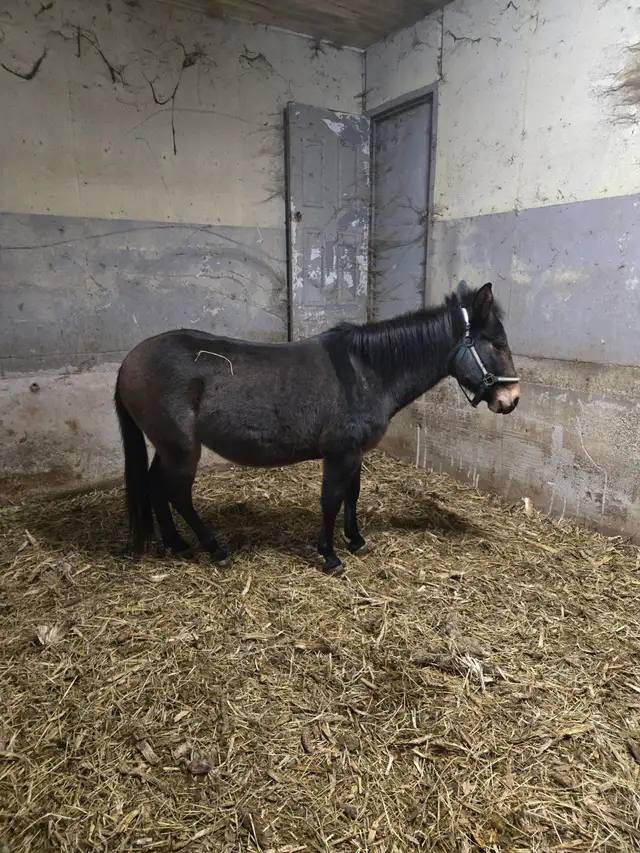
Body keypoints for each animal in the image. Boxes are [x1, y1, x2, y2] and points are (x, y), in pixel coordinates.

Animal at [114, 280, 520, 574]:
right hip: (183, 449)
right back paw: (213, 549)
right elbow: (330, 500)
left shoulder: (355, 453)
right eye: (498, 344)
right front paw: (329, 555)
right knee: (177, 493)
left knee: (155, 486)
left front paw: (355, 541)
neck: (366, 371)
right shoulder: (339, 453)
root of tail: (128, 362)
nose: (511, 399)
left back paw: (176, 544)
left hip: (168, 446)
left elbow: (351, 496)